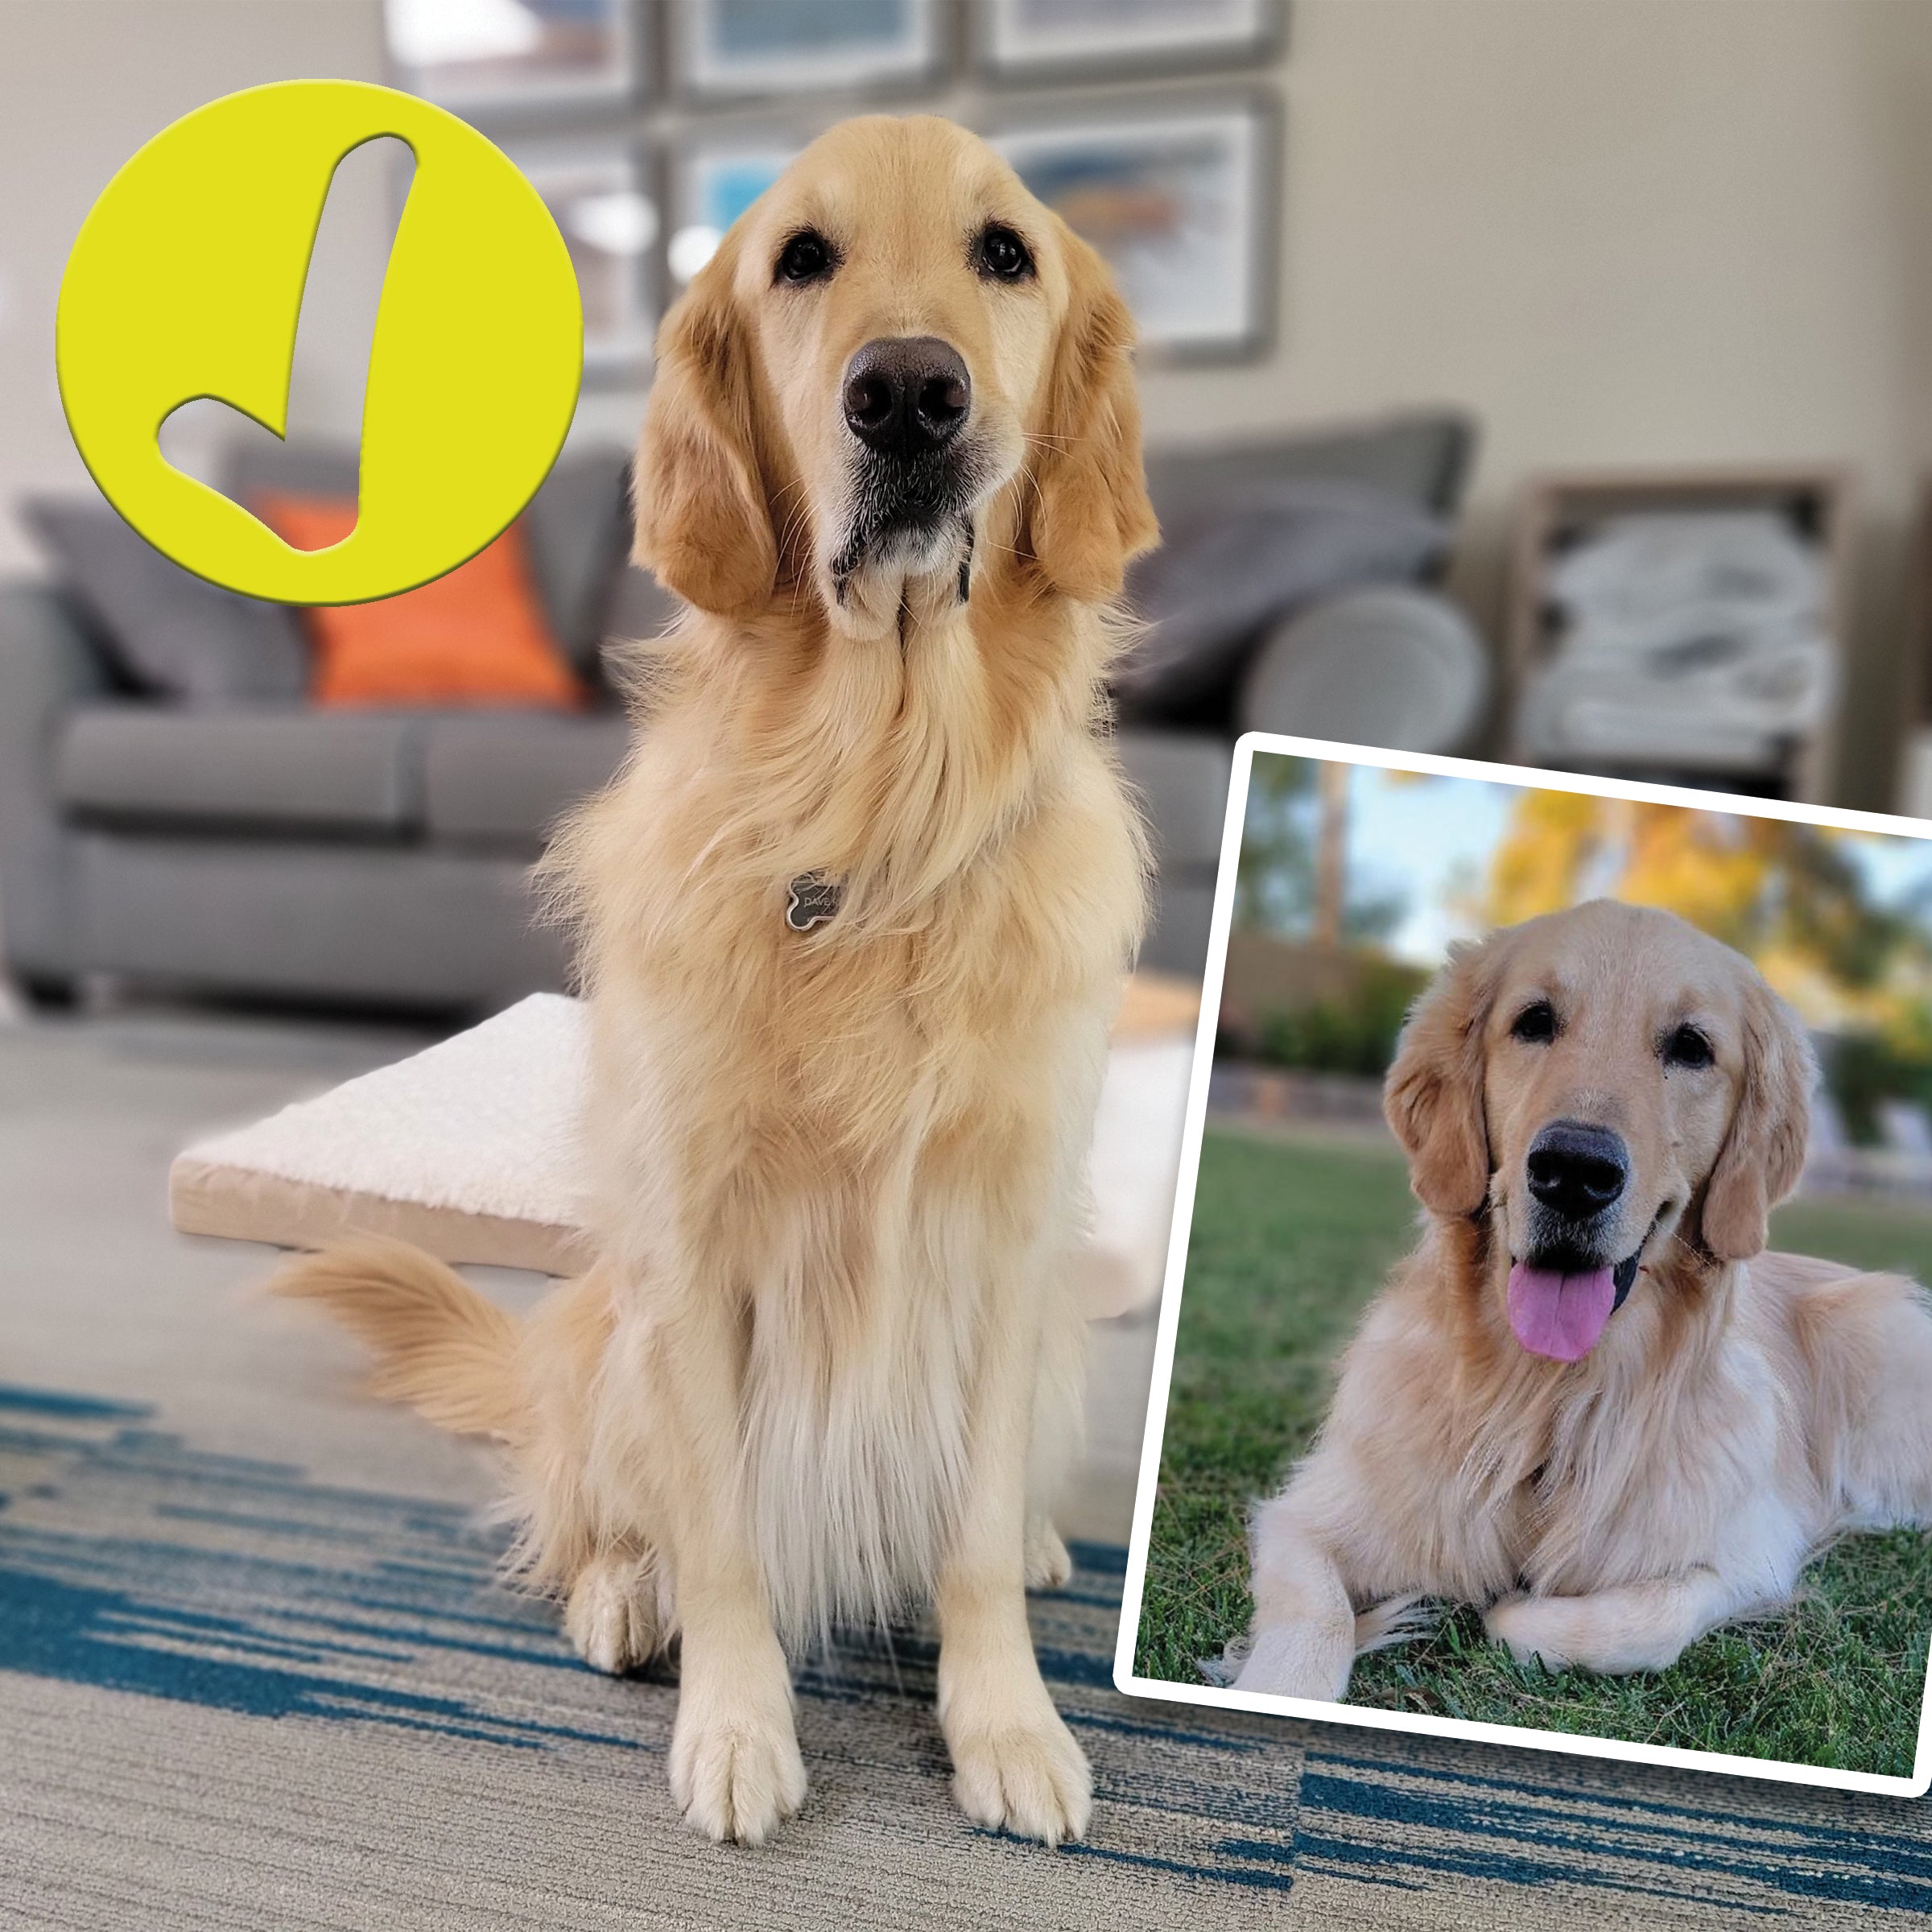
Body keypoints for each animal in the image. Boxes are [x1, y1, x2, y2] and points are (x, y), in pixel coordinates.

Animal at [270, 113, 1143, 1847]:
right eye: (801, 257)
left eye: (1005, 253)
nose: (908, 394)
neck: (883, 811)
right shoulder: (699, 1244)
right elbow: (724, 1527)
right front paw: (739, 1726)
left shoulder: (1008, 1241)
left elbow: (964, 1539)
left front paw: (1007, 1722)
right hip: (611, 1336)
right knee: (592, 1506)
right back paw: (623, 1594)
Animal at [1228, 896, 1932, 1700]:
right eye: (1534, 1021)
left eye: (1691, 1047)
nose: (1573, 1172)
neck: (1547, 1395)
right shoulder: (1311, 1513)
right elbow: (1311, 1622)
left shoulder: (1751, 1549)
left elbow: (1620, 1622)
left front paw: (1507, 1611)